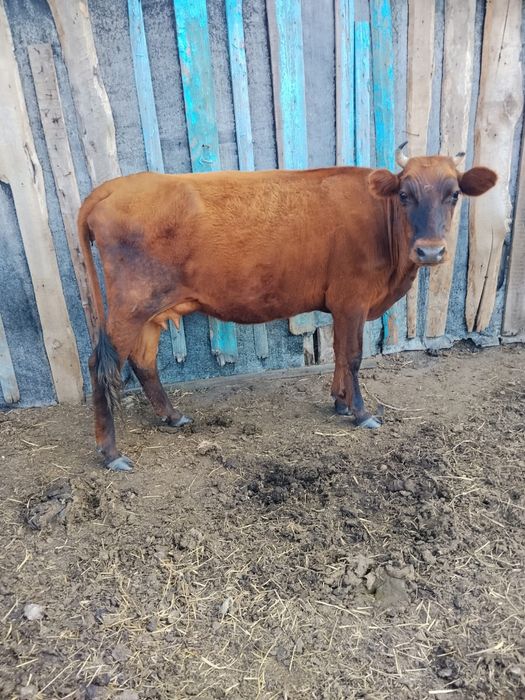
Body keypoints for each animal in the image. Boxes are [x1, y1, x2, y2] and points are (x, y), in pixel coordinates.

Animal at [78, 144, 497, 471]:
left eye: (454, 194)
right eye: (405, 194)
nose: (431, 251)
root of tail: (111, 188)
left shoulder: (342, 305)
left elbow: (340, 354)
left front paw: (340, 402)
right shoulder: (352, 298)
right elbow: (353, 356)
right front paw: (361, 414)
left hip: (152, 310)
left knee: (143, 361)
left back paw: (173, 416)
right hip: (129, 305)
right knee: (99, 365)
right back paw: (110, 453)